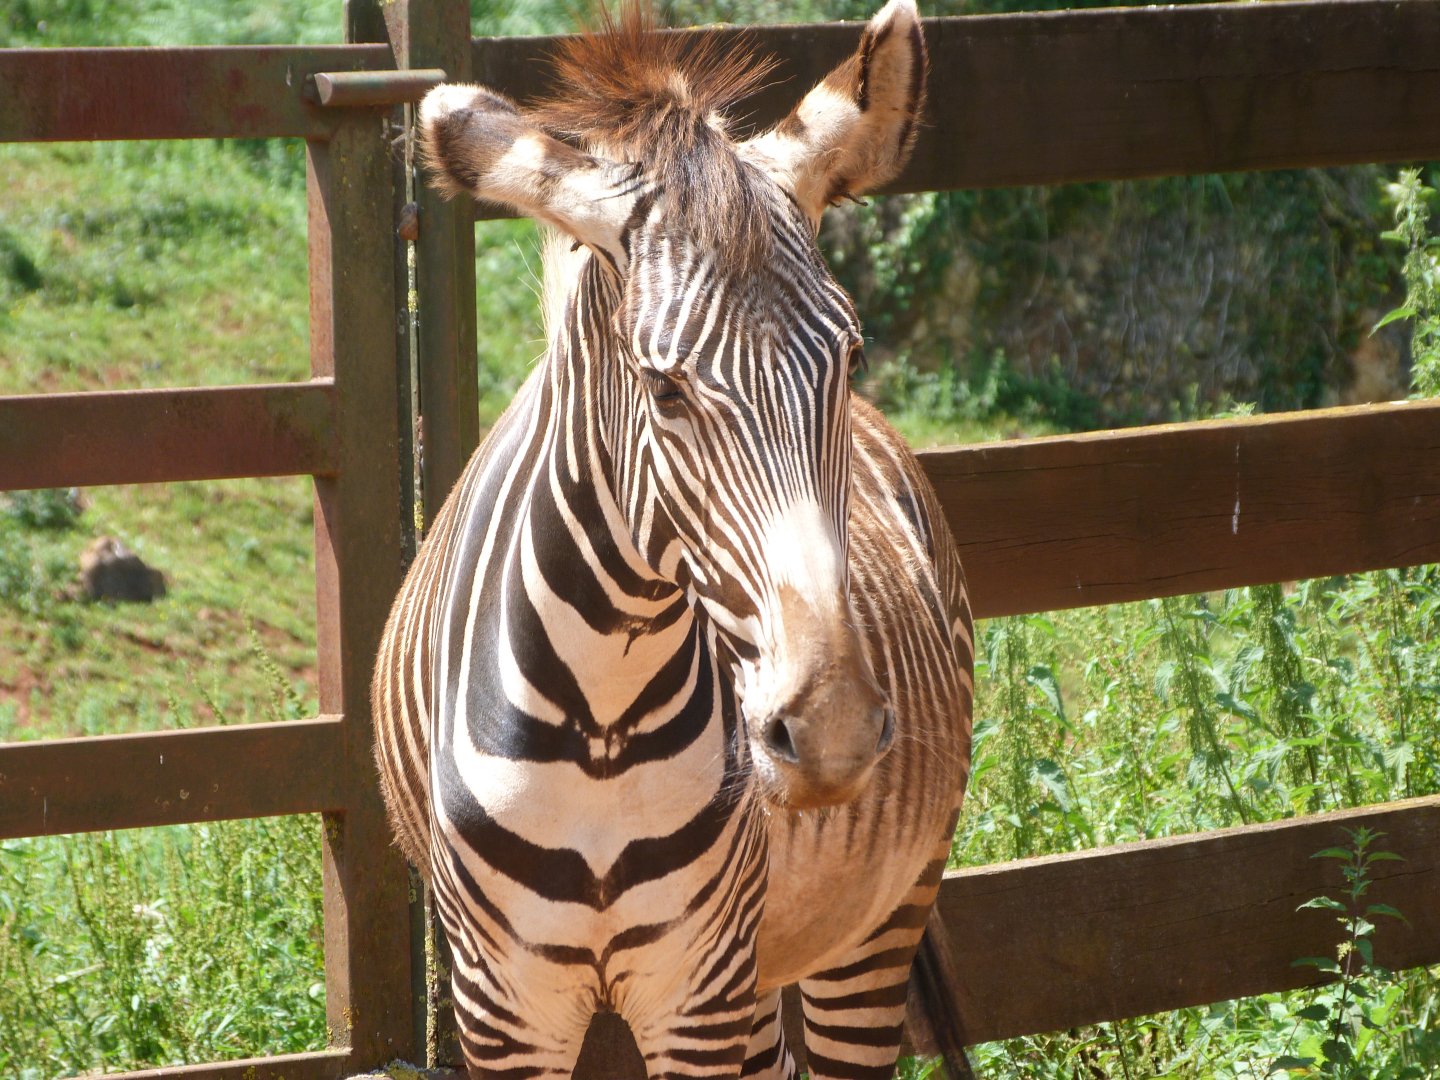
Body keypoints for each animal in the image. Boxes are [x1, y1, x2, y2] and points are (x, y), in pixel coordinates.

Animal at [372, 1, 974, 1076]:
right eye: (663, 390)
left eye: (851, 356)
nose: (832, 732)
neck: (605, 719)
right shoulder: (501, 1006)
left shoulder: (697, 995)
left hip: (875, 919)